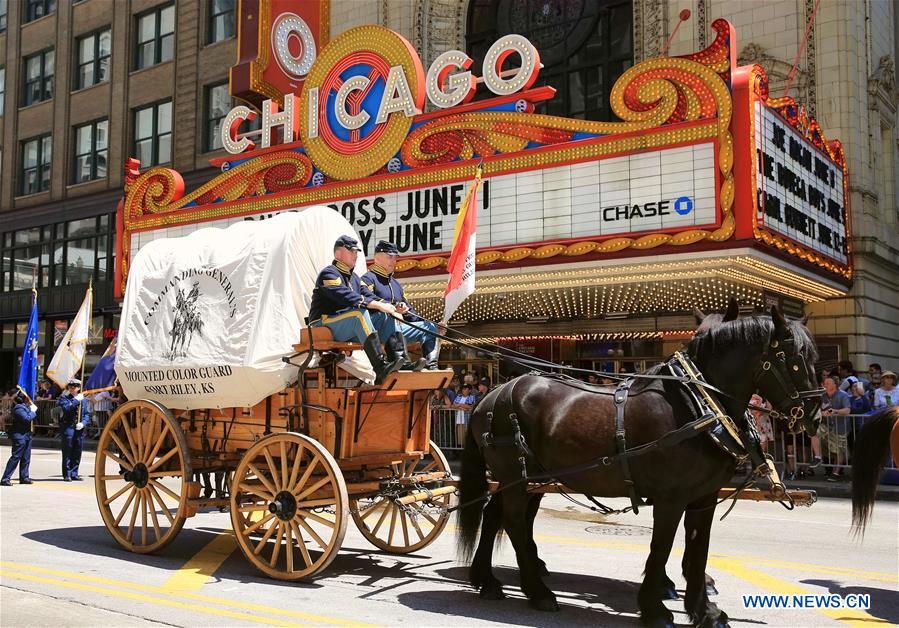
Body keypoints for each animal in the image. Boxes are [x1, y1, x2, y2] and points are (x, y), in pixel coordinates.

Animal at [460, 302, 820, 624]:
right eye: (796, 360)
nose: (815, 417)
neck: (699, 405)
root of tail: (491, 395)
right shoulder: (670, 498)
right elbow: (661, 547)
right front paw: (655, 608)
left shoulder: (703, 498)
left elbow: (698, 550)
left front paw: (704, 611)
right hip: (515, 476)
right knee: (514, 522)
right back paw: (537, 592)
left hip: (527, 479)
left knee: (495, 516)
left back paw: (487, 581)